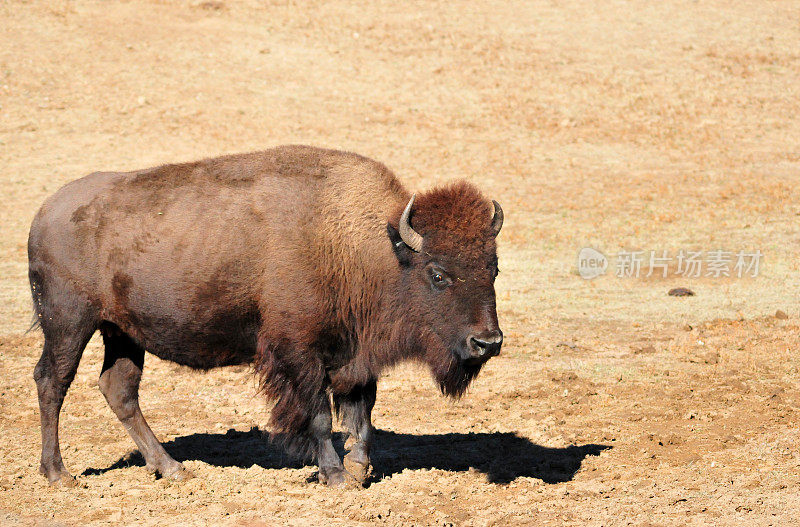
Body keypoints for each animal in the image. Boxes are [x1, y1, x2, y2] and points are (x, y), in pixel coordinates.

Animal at [28, 143, 504, 486]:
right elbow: (319, 416)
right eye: (438, 274)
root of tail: (45, 211)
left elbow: (362, 415)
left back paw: (171, 468)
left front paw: (360, 469)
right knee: (53, 381)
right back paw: (59, 474)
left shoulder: (355, 355)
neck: (364, 246)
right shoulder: (298, 353)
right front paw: (336, 476)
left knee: (119, 389)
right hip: (70, 324)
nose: (488, 342)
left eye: (494, 267)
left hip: (122, 333)